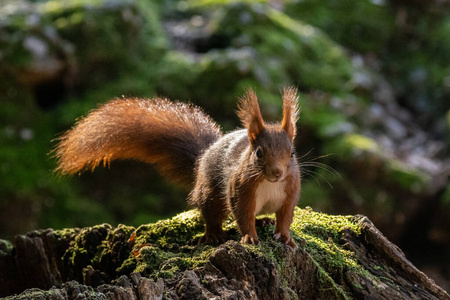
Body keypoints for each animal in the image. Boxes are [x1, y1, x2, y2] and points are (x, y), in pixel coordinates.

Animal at [55, 86, 302, 248]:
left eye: (292, 153)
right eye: (259, 153)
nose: (277, 173)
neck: (269, 183)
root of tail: (204, 155)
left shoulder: (289, 192)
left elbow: (285, 216)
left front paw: (285, 236)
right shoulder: (240, 189)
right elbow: (242, 215)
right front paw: (250, 237)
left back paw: (264, 220)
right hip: (209, 193)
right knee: (212, 213)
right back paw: (213, 234)